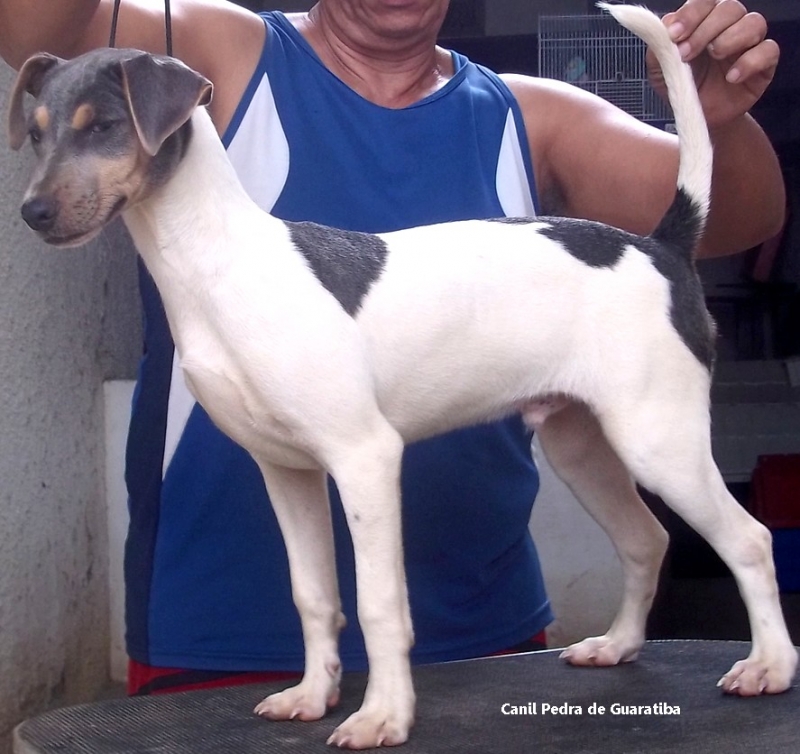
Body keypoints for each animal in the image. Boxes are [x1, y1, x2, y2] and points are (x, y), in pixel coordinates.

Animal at [9, 4, 796, 748]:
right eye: (39, 132)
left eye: (106, 125)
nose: (32, 212)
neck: (220, 262)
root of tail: (659, 246)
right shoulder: (287, 472)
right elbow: (314, 596)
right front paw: (312, 695)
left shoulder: (365, 459)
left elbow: (380, 604)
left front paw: (383, 715)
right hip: (585, 445)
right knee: (646, 539)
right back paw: (620, 644)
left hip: (658, 441)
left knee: (749, 540)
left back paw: (769, 666)